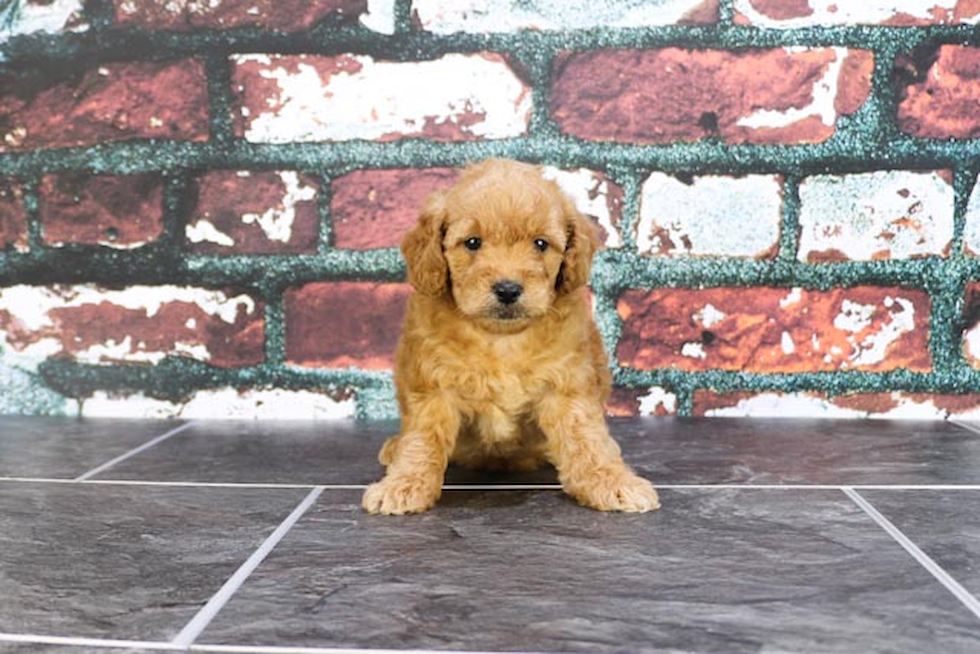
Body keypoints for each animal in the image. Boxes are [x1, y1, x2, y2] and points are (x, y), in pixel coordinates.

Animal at [364, 160, 664, 516]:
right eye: (472, 243)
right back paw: (394, 447)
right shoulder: (433, 387)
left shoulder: (567, 386)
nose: (508, 289)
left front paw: (610, 481)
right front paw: (405, 483)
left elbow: (585, 438)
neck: (501, 338)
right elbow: (423, 439)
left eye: (540, 244)